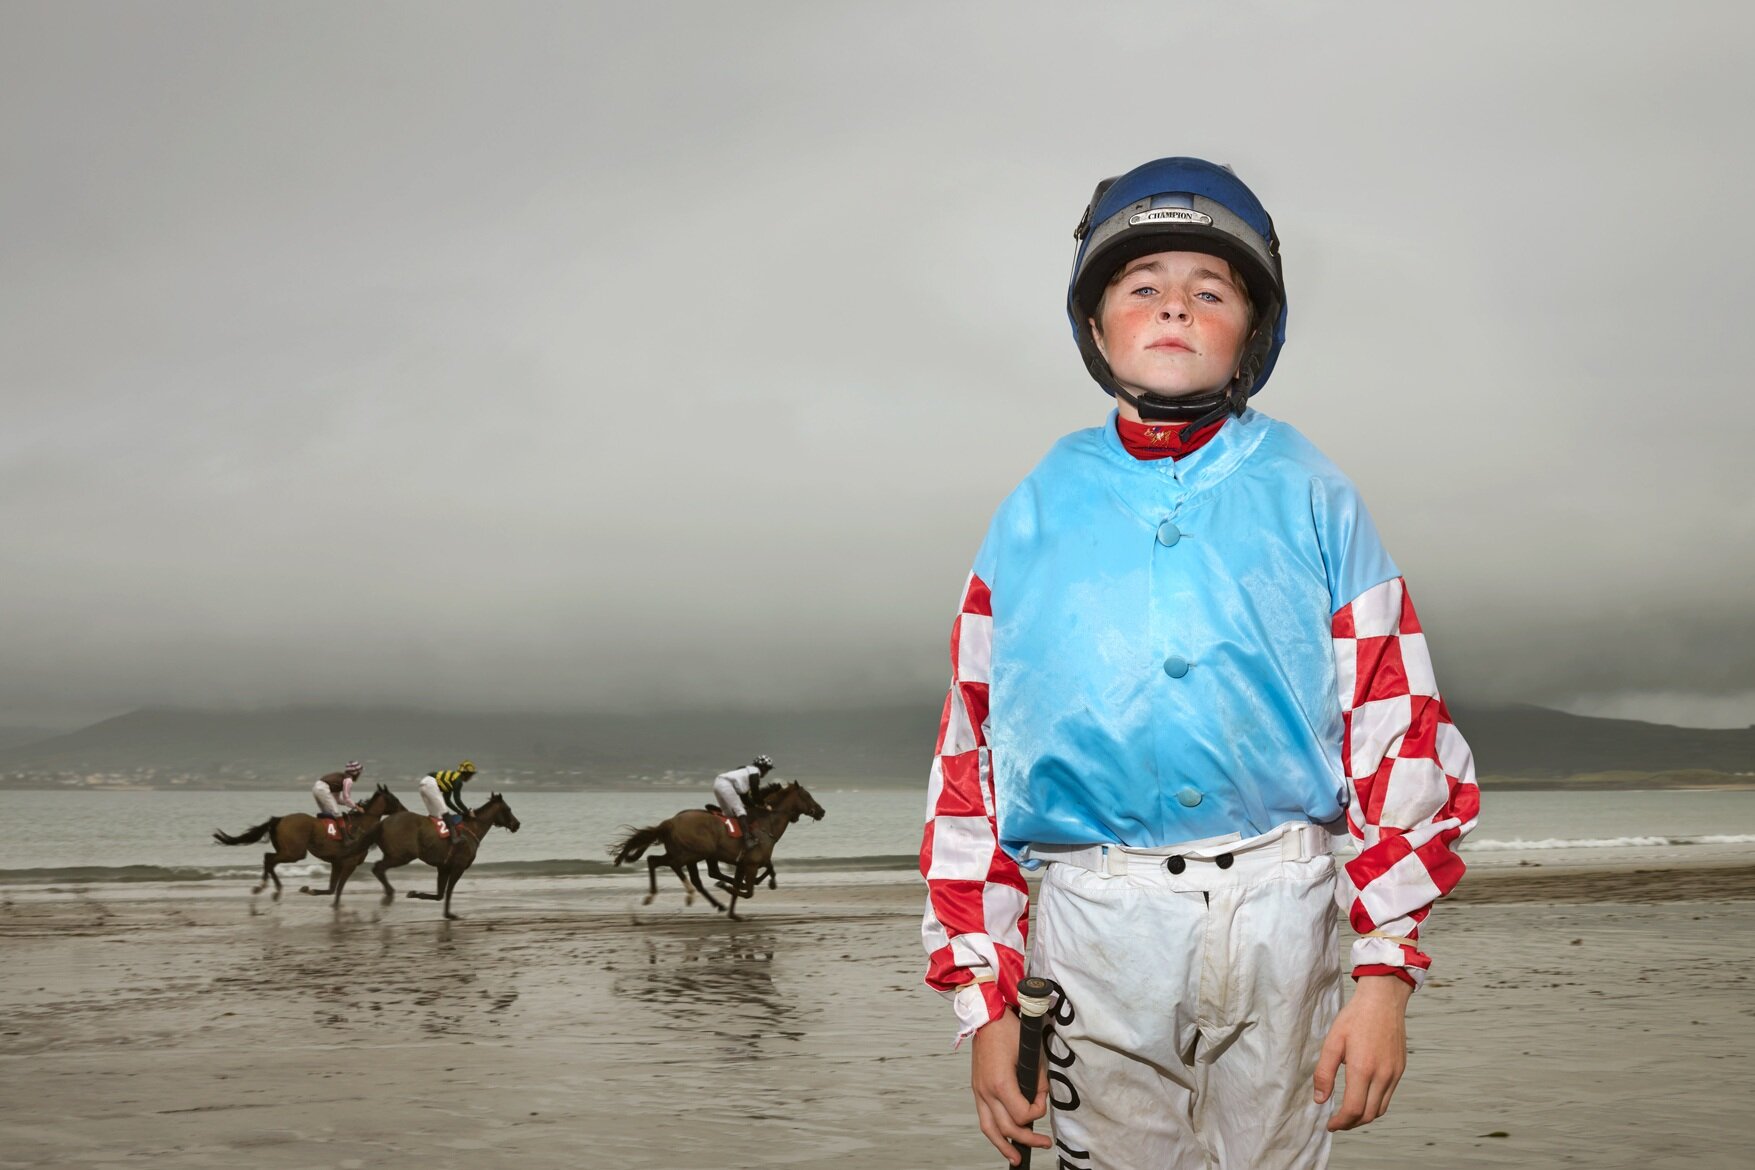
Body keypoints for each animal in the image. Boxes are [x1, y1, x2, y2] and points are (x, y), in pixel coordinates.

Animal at [212, 785, 403, 905]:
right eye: (394, 798)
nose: (404, 810)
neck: (361, 826)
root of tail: (279, 819)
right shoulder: (349, 863)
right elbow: (338, 889)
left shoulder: (337, 862)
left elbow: (332, 889)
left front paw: (309, 890)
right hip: (294, 852)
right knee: (269, 859)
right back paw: (266, 888)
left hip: (288, 851)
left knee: (269, 859)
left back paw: (270, 888)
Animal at [610, 782, 828, 919]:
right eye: (807, 795)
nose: (822, 811)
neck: (767, 822)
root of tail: (670, 822)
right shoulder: (751, 863)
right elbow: (748, 890)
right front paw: (729, 889)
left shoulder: (745, 863)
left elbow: (765, 871)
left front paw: (735, 908)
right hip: (694, 852)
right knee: (673, 866)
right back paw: (690, 894)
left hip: (688, 853)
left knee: (654, 860)